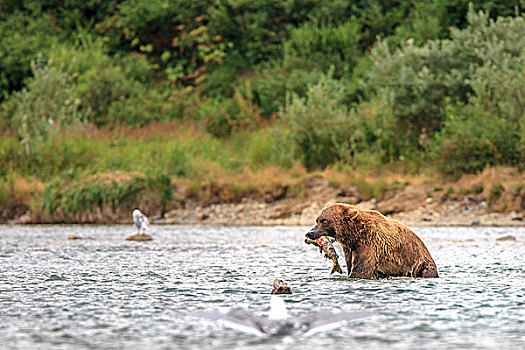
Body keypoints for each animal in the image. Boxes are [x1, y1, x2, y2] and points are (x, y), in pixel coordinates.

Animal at [304, 202, 436, 278]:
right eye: (317, 219)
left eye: (324, 220)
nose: (310, 233)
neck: (354, 234)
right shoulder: (350, 248)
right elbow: (350, 265)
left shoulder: (369, 243)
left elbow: (362, 268)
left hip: (420, 262)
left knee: (427, 269)